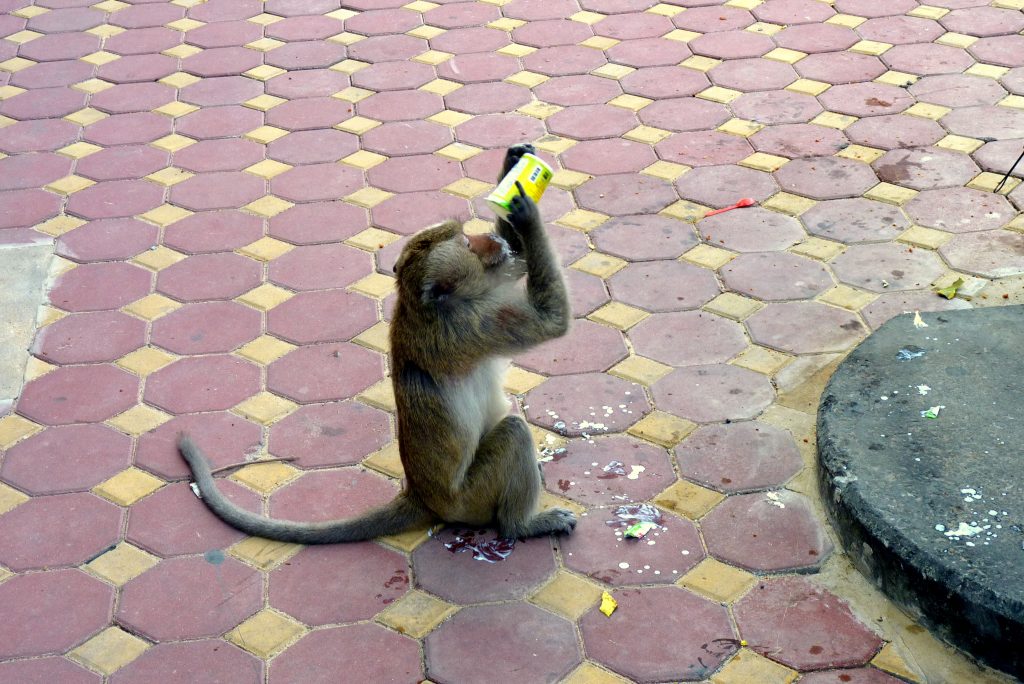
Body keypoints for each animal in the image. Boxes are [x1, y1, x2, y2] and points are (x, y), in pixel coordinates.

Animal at [178, 144, 577, 544]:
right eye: (467, 244)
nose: (490, 242)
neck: (423, 305)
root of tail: (422, 496)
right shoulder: (473, 323)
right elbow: (550, 320)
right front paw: (526, 215)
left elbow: (518, 259)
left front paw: (515, 164)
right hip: (470, 500)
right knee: (513, 433)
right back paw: (521, 525)